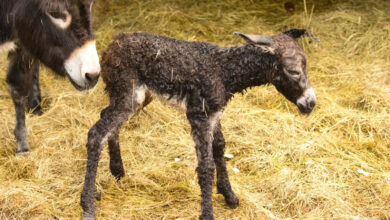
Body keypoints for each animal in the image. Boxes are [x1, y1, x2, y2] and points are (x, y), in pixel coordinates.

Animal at [80, 29, 318, 220]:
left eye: (307, 67)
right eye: (293, 71)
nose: (311, 103)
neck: (224, 70)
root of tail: (113, 44)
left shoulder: (214, 114)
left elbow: (219, 147)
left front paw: (229, 195)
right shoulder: (199, 115)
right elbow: (205, 166)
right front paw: (208, 213)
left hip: (135, 97)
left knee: (108, 121)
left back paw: (117, 169)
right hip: (128, 93)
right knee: (96, 133)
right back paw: (88, 206)